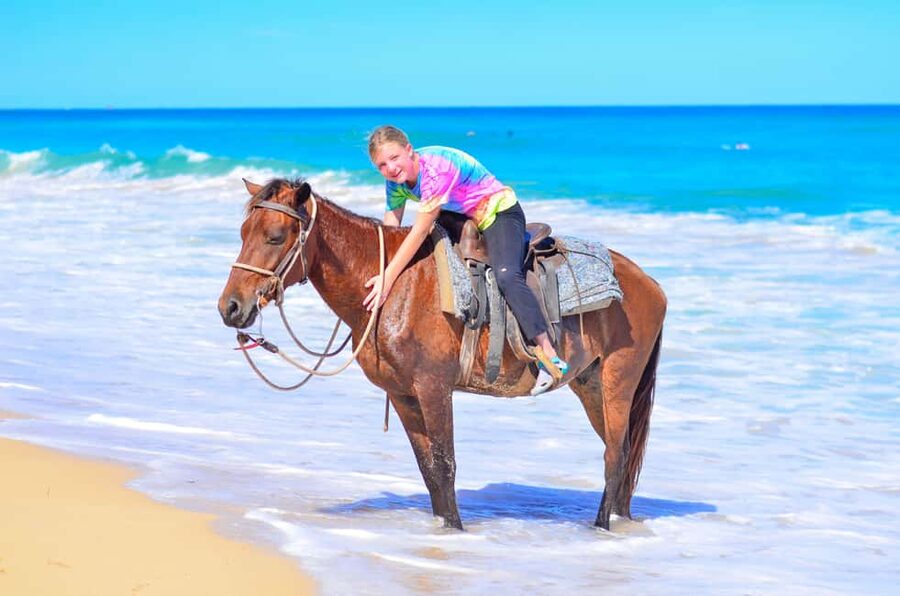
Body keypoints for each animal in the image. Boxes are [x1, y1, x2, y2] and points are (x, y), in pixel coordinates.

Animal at [217, 178, 667, 531]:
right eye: (242, 232)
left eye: (275, 236)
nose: (231, 307)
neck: (393, 283)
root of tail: (650, 283)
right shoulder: (402, 394)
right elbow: (429, 470)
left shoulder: (433, 388)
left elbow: (446, 464)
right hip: (590, 384)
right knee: (622, 455)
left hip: (618, 380)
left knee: (615, 455)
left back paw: (600, 528)